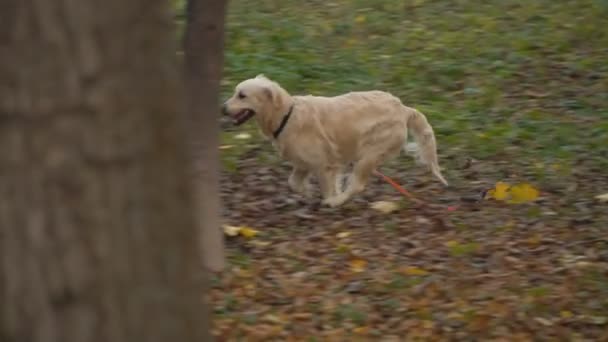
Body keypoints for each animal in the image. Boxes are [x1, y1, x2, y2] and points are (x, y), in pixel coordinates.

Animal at [222, 75, 446, 207]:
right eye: (236, 92)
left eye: (242, 95)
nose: (222, 108)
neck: (286, 115)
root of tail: (403, 109)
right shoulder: (303, 164)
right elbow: (293, 182)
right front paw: (307, 193)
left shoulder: (324, 164)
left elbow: (327, 187)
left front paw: (329, 198)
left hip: (368, 156)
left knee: (357, 185)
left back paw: (336, 202)